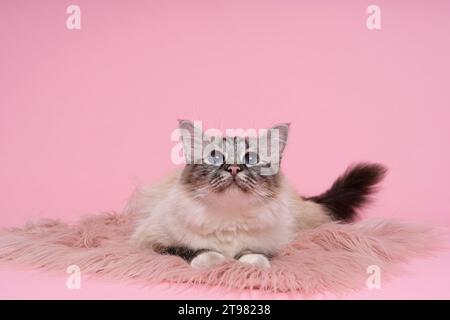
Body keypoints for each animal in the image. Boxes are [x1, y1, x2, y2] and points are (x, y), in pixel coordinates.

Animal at [127, 120, 386, 268]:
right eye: (215, 158)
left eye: (250, 159)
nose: (233, 168)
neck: (229, 221)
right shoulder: (151, 242)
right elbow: (191, 250)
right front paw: (214, 260)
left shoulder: (272, 242)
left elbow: (255, 254)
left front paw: (251, 264)